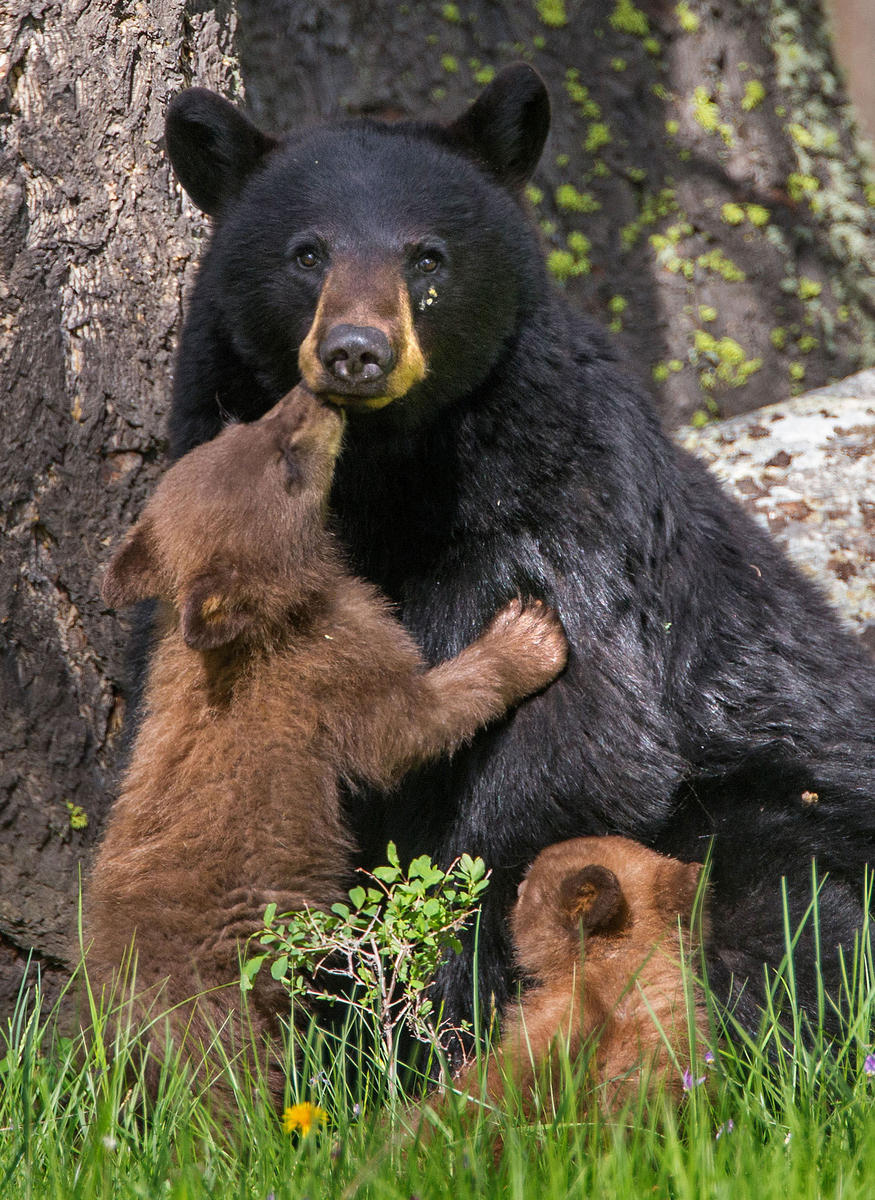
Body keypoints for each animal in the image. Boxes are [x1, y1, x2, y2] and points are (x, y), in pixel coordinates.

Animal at [158, 65, 873, 1041]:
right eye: (306, 254)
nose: (356, 352)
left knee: (779, 915)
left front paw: (459, 1011)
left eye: (427, 257)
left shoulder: (562, 529)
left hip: (777, 813)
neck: (385, 478)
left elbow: (559, 764)